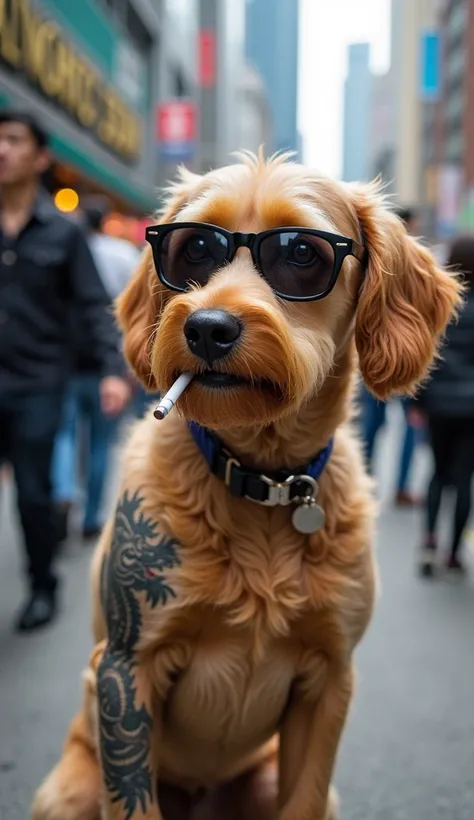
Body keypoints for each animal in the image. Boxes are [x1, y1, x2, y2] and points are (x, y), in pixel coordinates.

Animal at [32, 155, 462, 820]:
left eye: (302, 253)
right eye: (193, 248)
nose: (208, 327)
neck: (261, 480)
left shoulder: (330, 680)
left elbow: (304, 797)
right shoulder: (127, 670)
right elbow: (133, 797)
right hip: (68, 790)